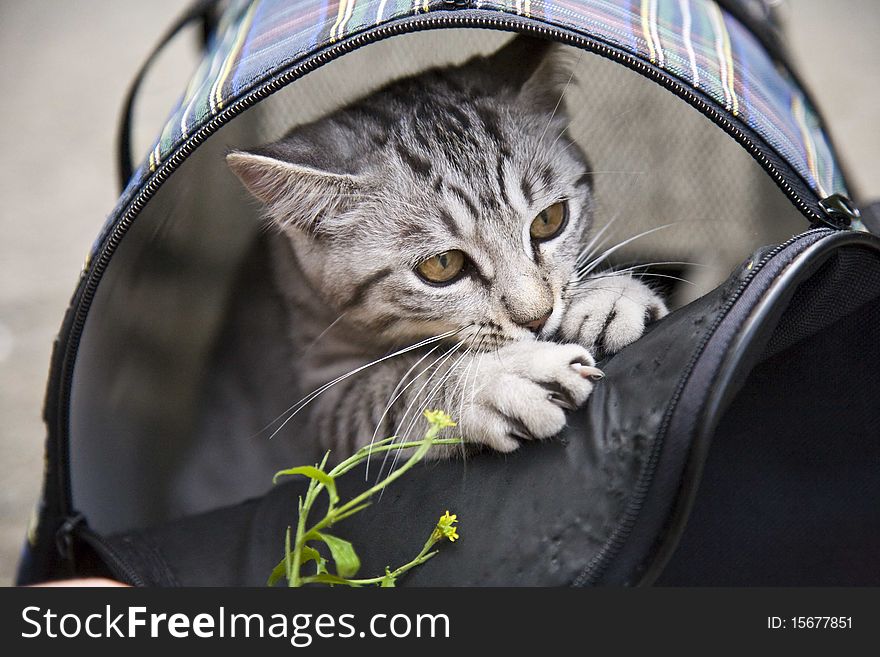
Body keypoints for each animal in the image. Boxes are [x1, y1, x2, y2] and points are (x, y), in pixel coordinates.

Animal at [227, 36, 668, 456]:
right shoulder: (322, 398)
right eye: (442, 265)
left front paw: (609, 294)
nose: (538, 317)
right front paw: (498, 380)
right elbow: (398, 388)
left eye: (549, 220)